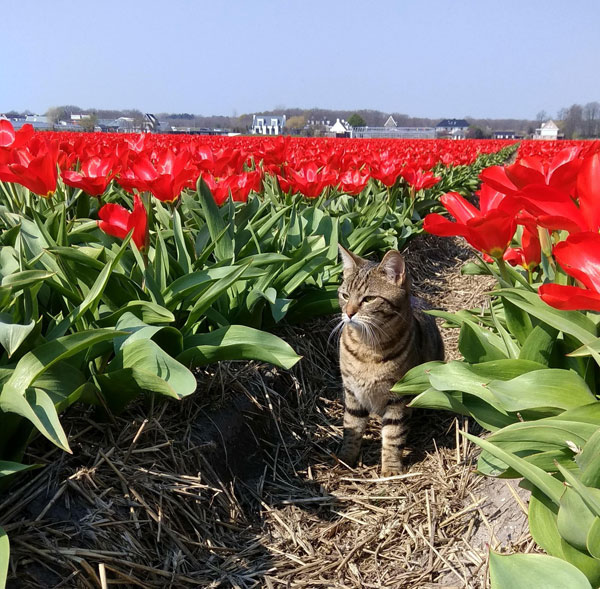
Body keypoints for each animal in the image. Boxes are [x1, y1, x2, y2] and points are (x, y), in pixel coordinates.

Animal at [338, 246, 446, 476]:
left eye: (368, 299)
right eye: (344, 295)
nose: (348, 313)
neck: (367, 349)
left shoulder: (398, 396)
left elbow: (393, 435)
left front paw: (390, 469)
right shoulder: (351, 391)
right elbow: (351, 426)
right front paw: (346, 457)